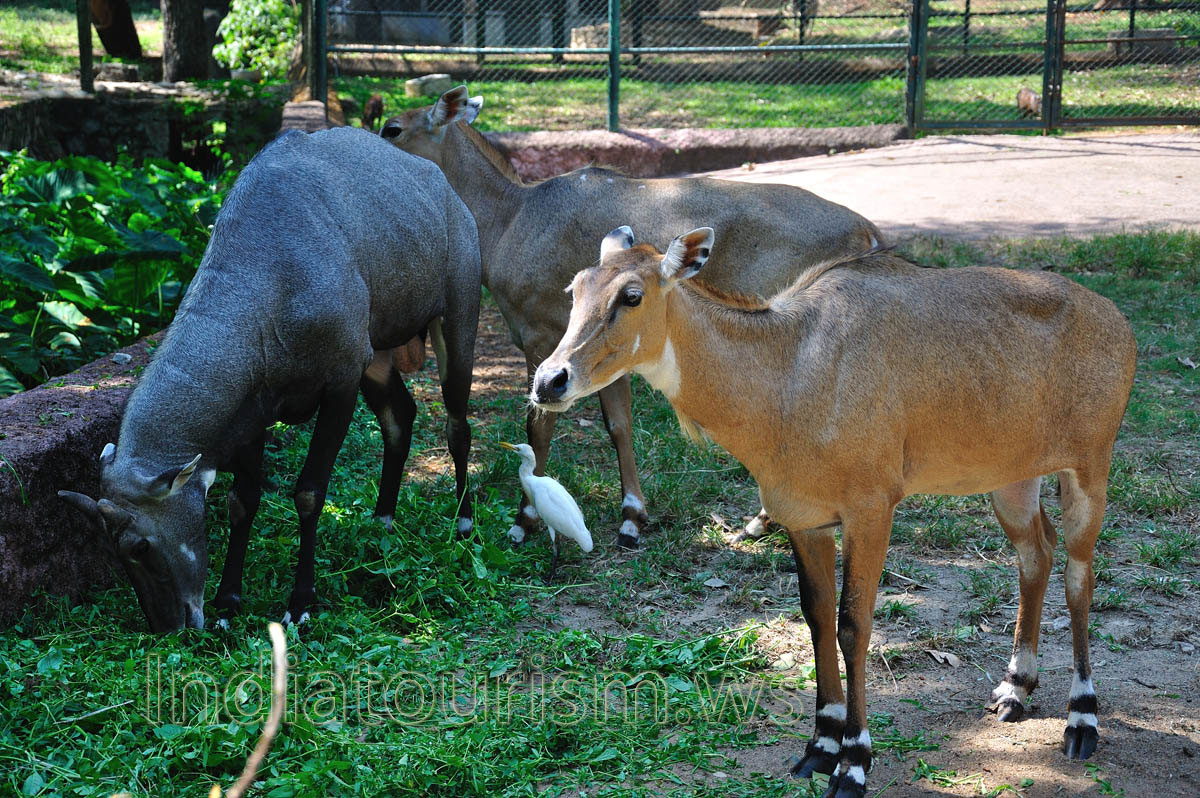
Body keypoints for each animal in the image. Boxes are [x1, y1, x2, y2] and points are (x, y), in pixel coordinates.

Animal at [59, 127, 481, 631]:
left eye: (139, 544)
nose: (170, 625)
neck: (273, 277)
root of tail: (442, 187)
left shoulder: (340, 382)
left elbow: (309, 492)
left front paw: (299, 604)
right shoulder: (253, 409)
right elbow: (242, 499)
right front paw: (228, 603)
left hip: (455, 320)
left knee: (457, 424)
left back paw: (465, 526)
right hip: (377, 356)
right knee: (400, 415)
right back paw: (381, 522)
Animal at [380, 85, 881, 548]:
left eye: (392, 129)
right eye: (576, 288)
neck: (509, 222)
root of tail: (869, 231)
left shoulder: (540, 337)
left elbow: (538, 427)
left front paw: (524, 521)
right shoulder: (600, 357)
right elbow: (618, 425)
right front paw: (632, 517)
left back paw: (765, 519)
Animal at [532, 226, 1136, 797]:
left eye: (631, 294)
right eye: (575, 289)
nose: (548, 381)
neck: (790, 371)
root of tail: (1117, 322)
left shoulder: (871, 510)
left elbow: (855, 624)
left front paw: (854, 763)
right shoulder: (806, 518)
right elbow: (817, 615)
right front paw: (821, 744)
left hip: (1089, 469)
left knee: (1079, 576)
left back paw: (1082, 718)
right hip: (1011, 479)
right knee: (1036, 554)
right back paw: (1014, 688)